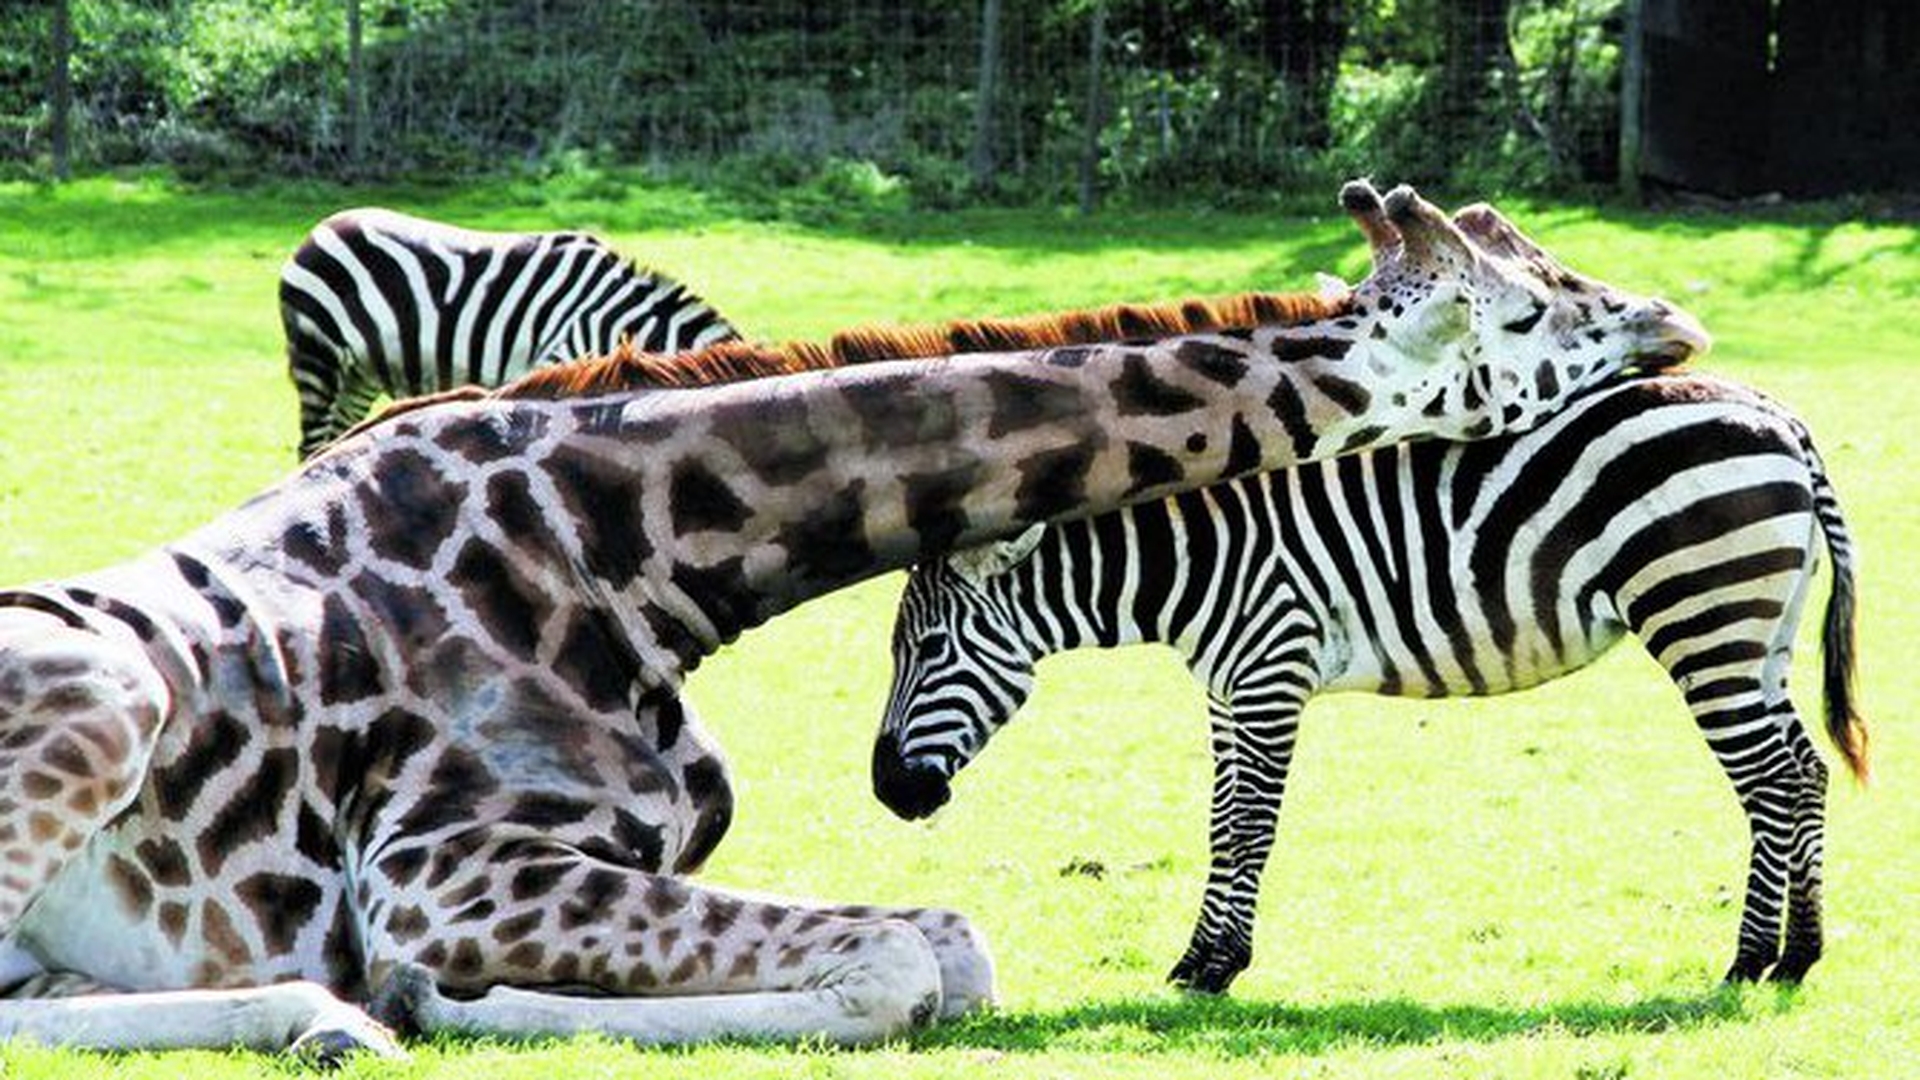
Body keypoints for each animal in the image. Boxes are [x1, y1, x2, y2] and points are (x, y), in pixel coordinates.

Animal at [279, 207, 739, 457]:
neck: (627, 324)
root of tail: (321, 228)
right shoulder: (562, 357)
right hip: (317, 357)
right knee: (311, 443)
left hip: (359, 373)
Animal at [871, 372, 1866, 993]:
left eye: (930, 647)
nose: (887, 792)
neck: (1192, 558)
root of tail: (1780, 419)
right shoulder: (1228, 685)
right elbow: (1221, 822)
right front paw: (1201, 959)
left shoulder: (1271, 666)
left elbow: (1250, 826)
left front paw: (1218, 967)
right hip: (1758, 629)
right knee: (1804, 772)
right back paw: (1801, 956)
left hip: (1704, 616)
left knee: (1770, 782)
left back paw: (1751, 959)